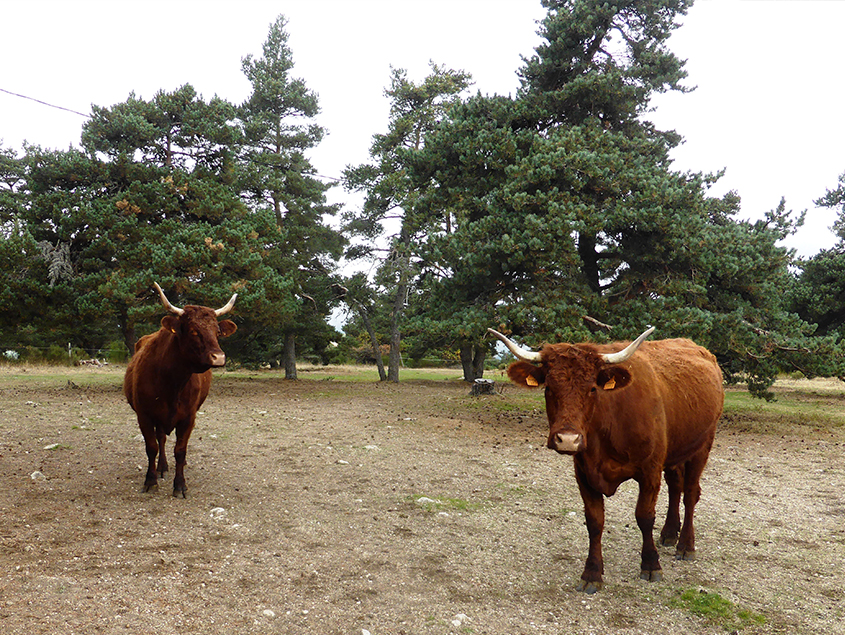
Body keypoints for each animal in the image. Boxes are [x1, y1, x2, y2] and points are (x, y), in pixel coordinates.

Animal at [122, 284, 236, 496]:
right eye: (193, 331)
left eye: (217, 332)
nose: (218, 357)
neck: (172, 384)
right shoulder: (144, 415)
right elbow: (151, 447)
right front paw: (150, 481)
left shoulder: (189, 417)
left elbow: (180, 450)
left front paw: (180, 485)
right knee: (160, 439)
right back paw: (161, 467)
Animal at [488, 328, 724, 596]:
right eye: (548, 387)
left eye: (592, 389)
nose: (567, 439)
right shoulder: (584, 472)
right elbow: (594, 521)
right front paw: (592, 573)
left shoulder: (650, 470)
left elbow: (644, 516)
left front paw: (651, 564)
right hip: (675, 452)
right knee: (676, 487)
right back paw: (669, 533)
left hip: (702, 445)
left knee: (690, 493)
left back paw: (685, 545)